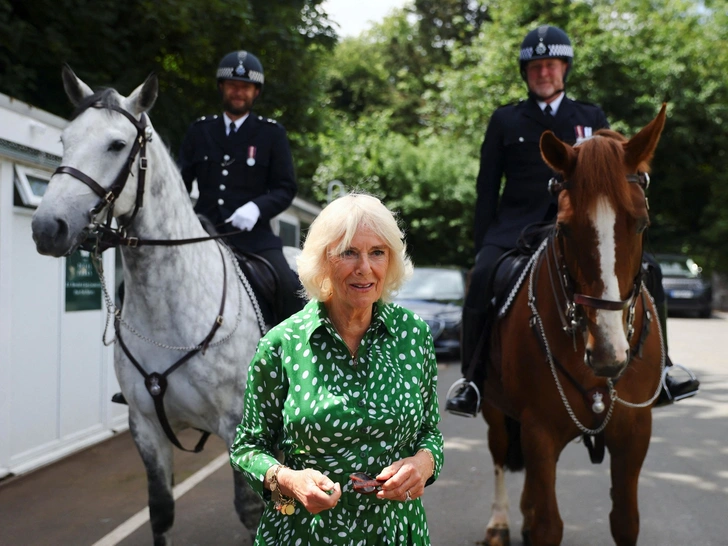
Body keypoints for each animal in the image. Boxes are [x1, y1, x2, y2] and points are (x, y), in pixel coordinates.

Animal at [32, 68, 264, 544]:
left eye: (117, 145)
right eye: (64, 139)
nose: (48, 228)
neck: (166, 308)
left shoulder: (237, 425)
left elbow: (250, 510)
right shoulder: (145, 428)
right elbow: (161, 511)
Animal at [480, 104, 668, 540]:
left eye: (641, 223)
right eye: (564, 227)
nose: (608, 354)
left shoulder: (635, 432)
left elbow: (625, 521)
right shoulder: (539, 431)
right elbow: (548, 526)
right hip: (496, 409)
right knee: (499, 450)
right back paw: (499, 521)